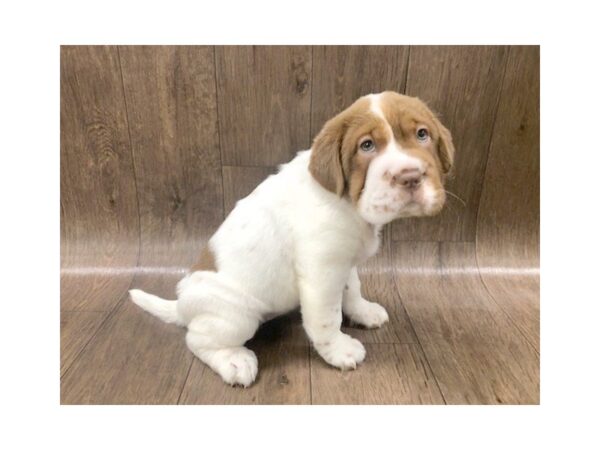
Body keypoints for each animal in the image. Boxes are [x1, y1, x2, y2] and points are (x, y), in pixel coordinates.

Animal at [131, 90, 454, 386]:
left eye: (422, 134)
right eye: (367, 145)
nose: (409, 176)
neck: (348, 203)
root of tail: (181, 304)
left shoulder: (344, 262)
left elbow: (352, 289)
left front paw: (363, 311)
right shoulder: (322, 272)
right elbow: (327, 318)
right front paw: (340, 350)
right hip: (236, 316)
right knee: (197, 340)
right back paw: (234, 361)